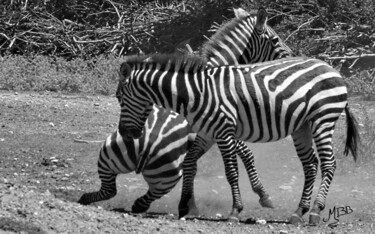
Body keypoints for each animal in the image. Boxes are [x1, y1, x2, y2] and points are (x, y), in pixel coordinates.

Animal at [78, 6, 294, 216]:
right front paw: (263, 194)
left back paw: (88, 198)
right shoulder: (221, 129)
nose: (292, 56)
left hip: (108, 159)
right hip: (168, 173)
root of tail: (145, 147)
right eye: (275, 40)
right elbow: (246, 153)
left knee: (110, 190)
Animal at [117, 53, 362, 225]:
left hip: (323, 118)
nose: (125, 134)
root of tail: (331, 68)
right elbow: (188, 163)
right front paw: (185, 205)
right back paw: (298, 212)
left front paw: (235, 211)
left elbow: (231, 172)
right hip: (302, 127)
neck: (196, 94)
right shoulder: (207, 133)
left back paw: (315, 210)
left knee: (329, 164)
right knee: (310, 165)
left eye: (119, 97)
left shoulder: (224, 131)